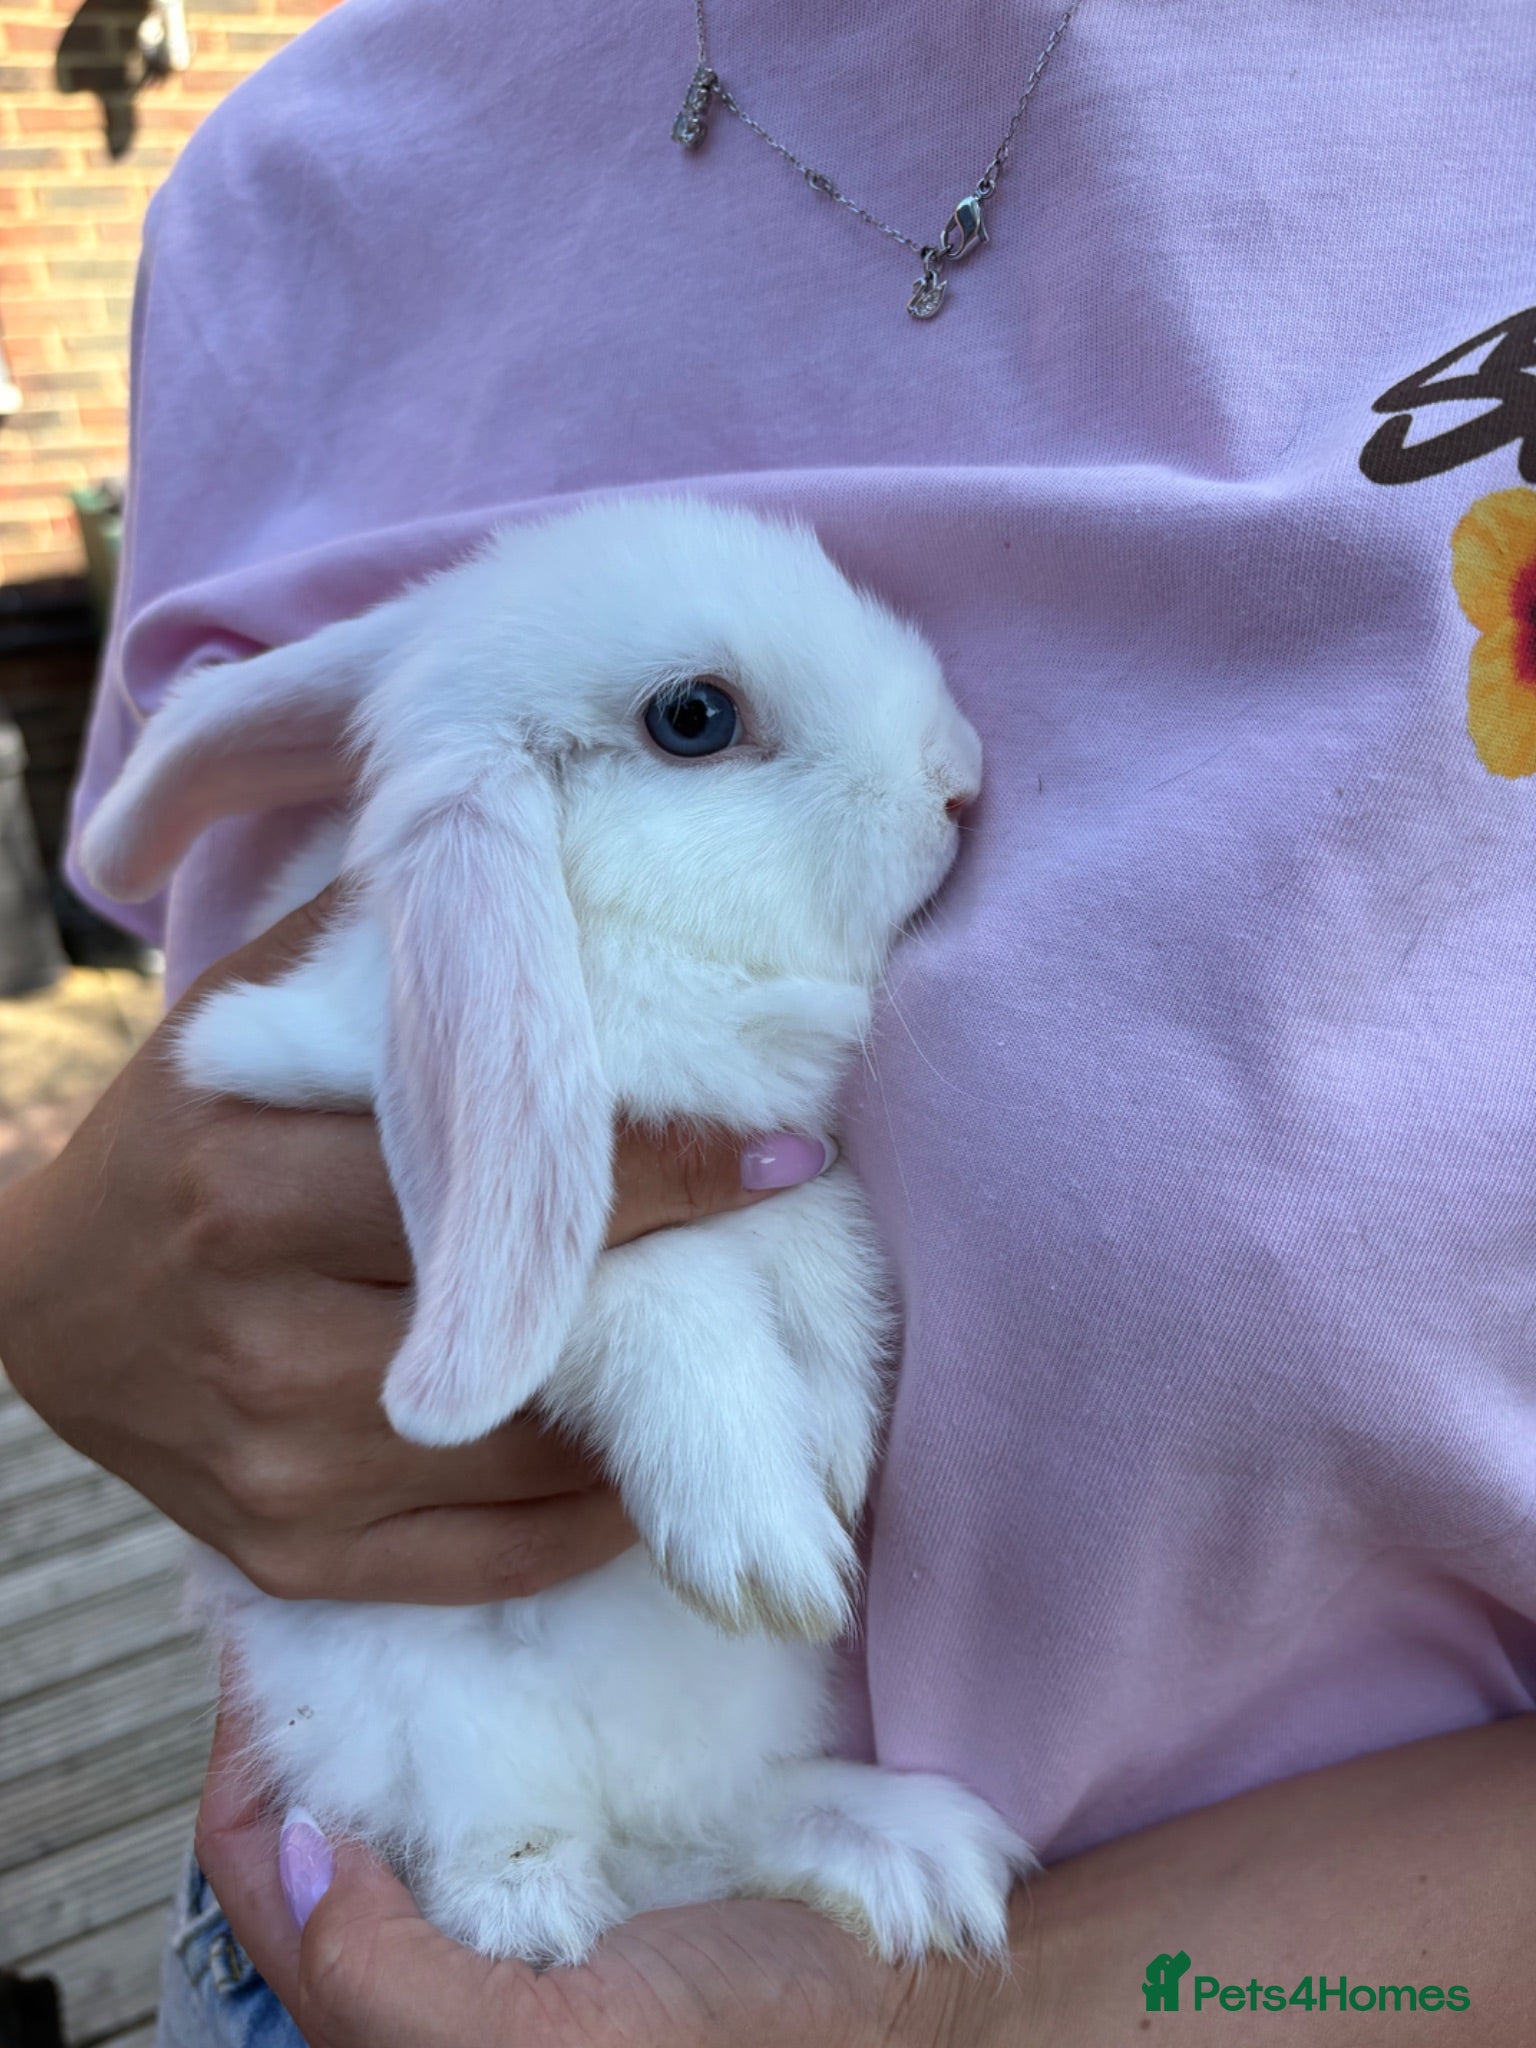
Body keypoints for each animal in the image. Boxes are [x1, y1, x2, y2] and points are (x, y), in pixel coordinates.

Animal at [80, 496, 1028, 1966]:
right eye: (695, 717)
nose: (959, 778)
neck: (614, 934)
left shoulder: (785, 1156)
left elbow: (824, 1239)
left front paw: (836, 1433)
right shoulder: (401, 1133)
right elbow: (635, 1283)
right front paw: (767, 1535)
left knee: (719, 1821)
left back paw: (899, 1855)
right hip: (430, 1723)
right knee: (509, 1842)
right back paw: (537, 1907)